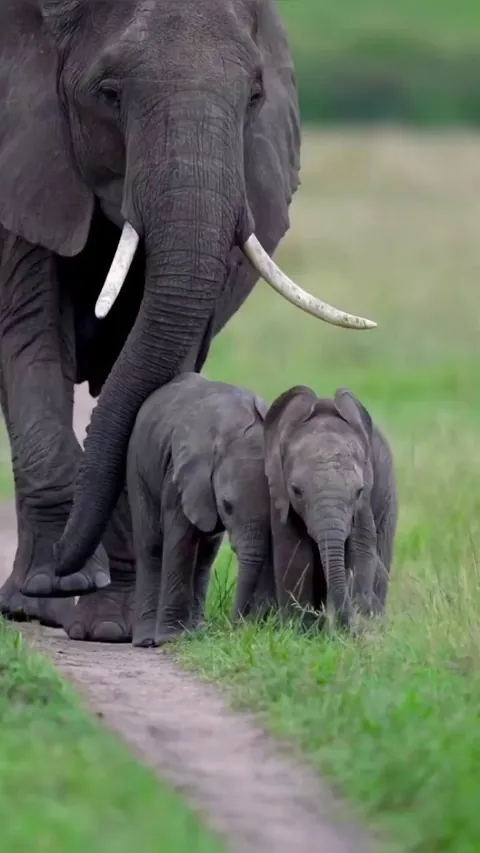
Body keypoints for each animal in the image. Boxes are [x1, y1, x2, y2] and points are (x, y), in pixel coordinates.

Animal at [126, 372, 275, 646]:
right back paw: (146, 640)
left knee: (206, 553)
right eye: (227, 506)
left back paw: (196, 630)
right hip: (138, 462)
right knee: (151, 545)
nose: (237, 626)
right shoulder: (179, 474)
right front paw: (171, 638)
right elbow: (180, 543)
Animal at [263, 385, 397, 631]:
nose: (351, 628)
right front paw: (300, 631)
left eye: (359, 491)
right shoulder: (278, 492)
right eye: (296, 491)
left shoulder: (365, 497)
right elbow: (293, 553)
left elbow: (362, 547)